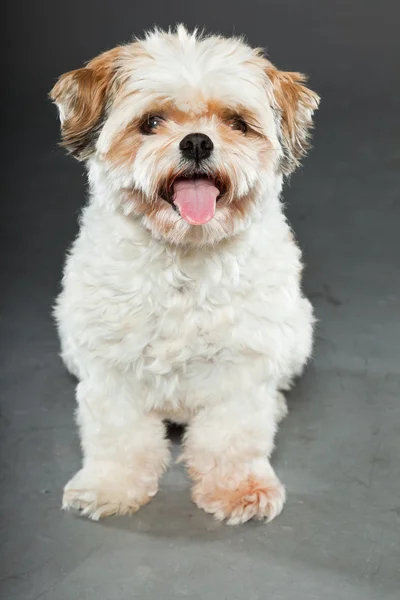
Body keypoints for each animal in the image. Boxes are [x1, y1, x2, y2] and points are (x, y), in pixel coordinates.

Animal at [50, 25, 318, 524]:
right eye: (151, 122)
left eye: (237, 123)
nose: (196, 141)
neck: (184, 258)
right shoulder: (109, 367)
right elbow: (117, 435)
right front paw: (110, 485)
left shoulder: (241, 367)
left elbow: (232, 436)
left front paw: (238, 488)